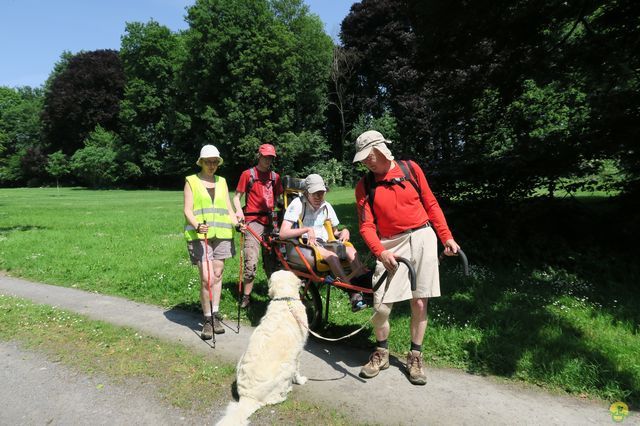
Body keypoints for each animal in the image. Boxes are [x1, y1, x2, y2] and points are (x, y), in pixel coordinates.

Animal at [216, 272, 308, 424]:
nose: (305, 280)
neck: (285, 299)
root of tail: (248, 397)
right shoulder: (299, 352)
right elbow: (298, 371)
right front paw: (301, 381)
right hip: (287, 367)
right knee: (274, 399)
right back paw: (286, 391)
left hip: (240, 362)